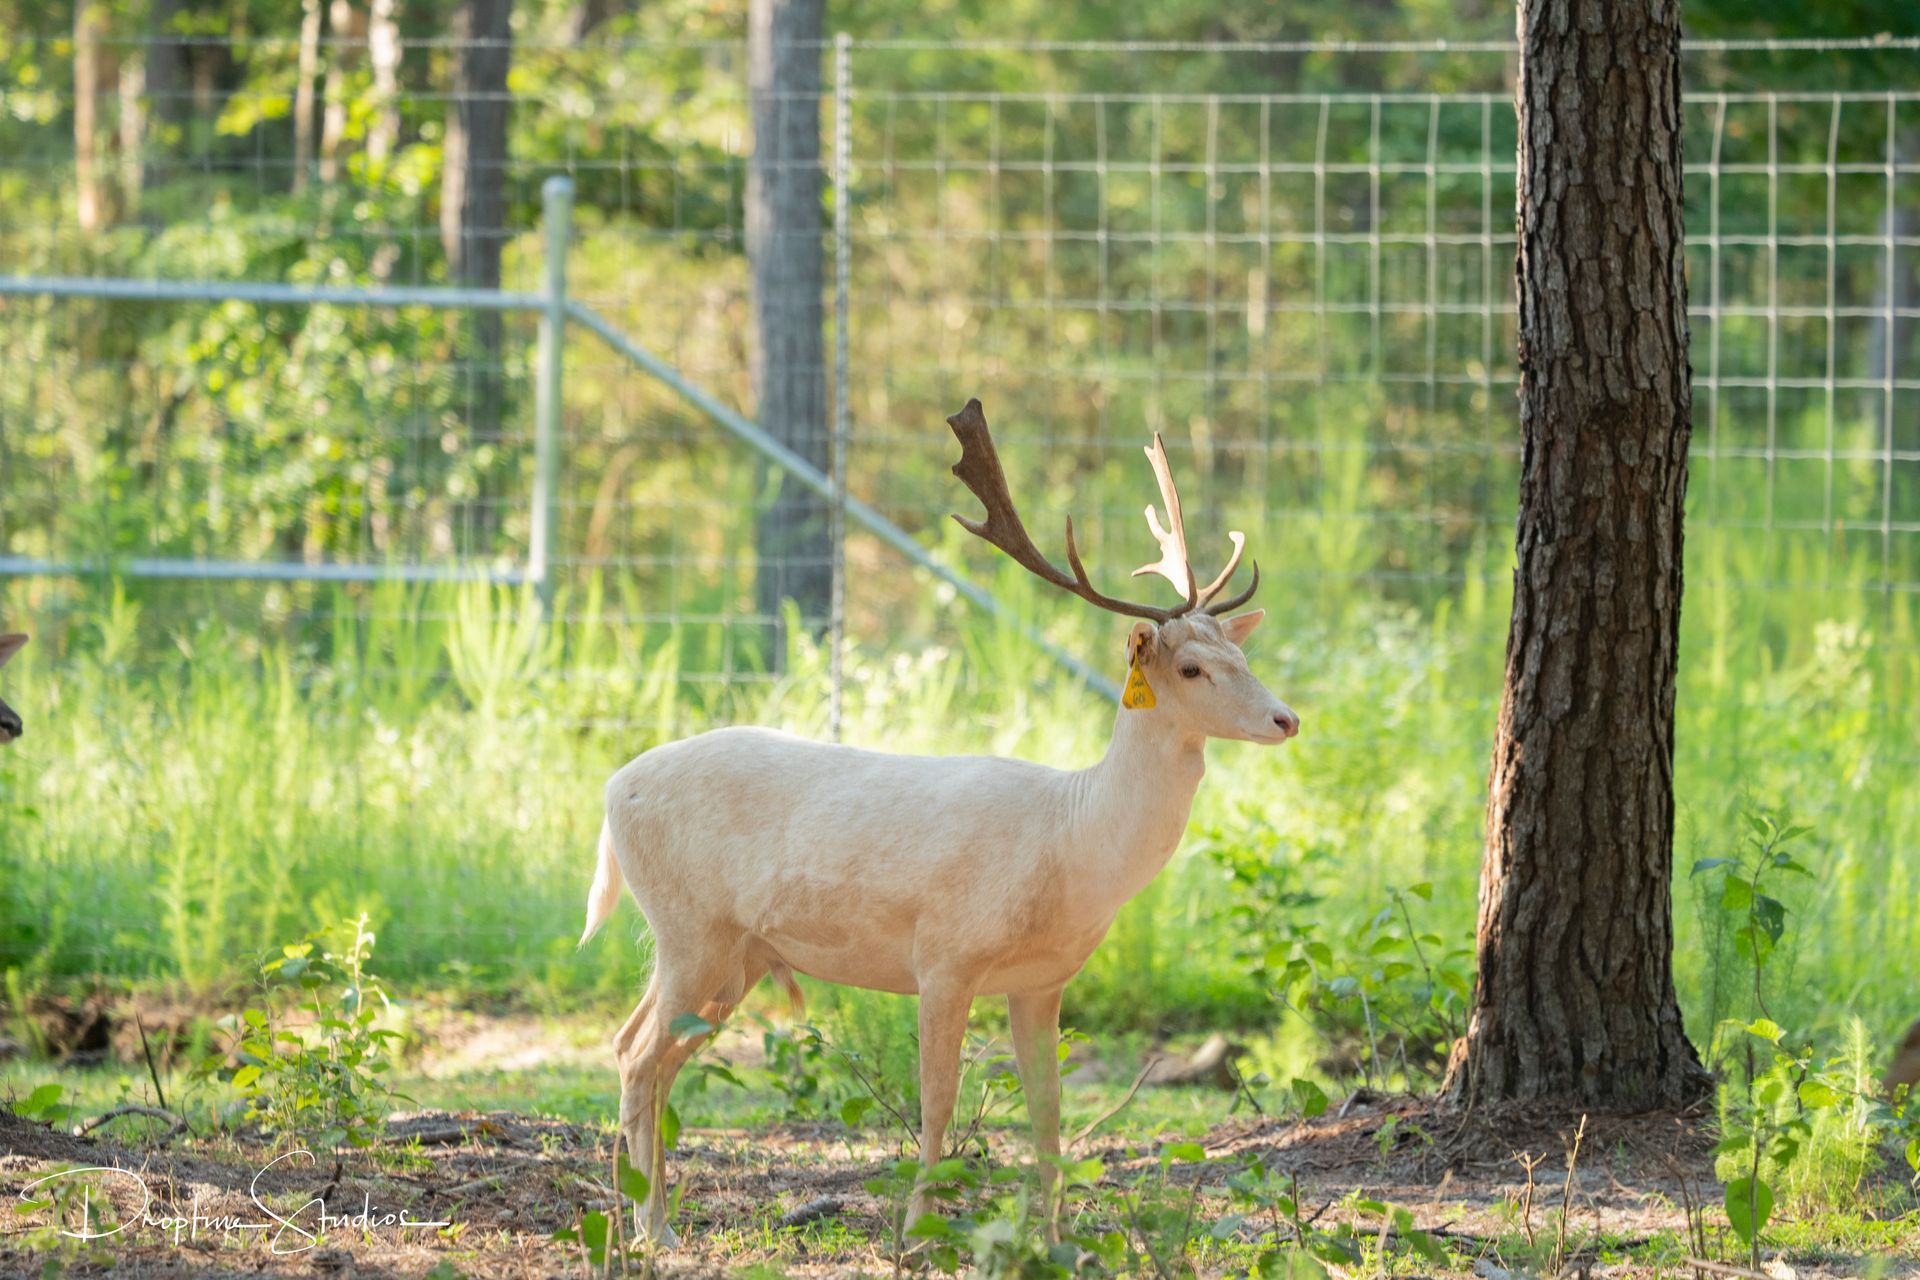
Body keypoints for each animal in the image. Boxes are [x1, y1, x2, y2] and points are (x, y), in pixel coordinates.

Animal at [579, 399, 1299, 1245]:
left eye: (1241, 657)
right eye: (1191, 667)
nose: (1285, 719)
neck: (1073, 845)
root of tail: (610, 790)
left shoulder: (1044, 980)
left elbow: (1050, 1112)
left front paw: (1054, 1239)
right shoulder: (945, 956)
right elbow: (939, 1102)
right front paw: (921, 1230)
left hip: (737, 953)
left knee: (637, 1047)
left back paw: (639, 1212)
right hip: (690, 926)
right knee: (638, 1057)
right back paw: (651, 1229)